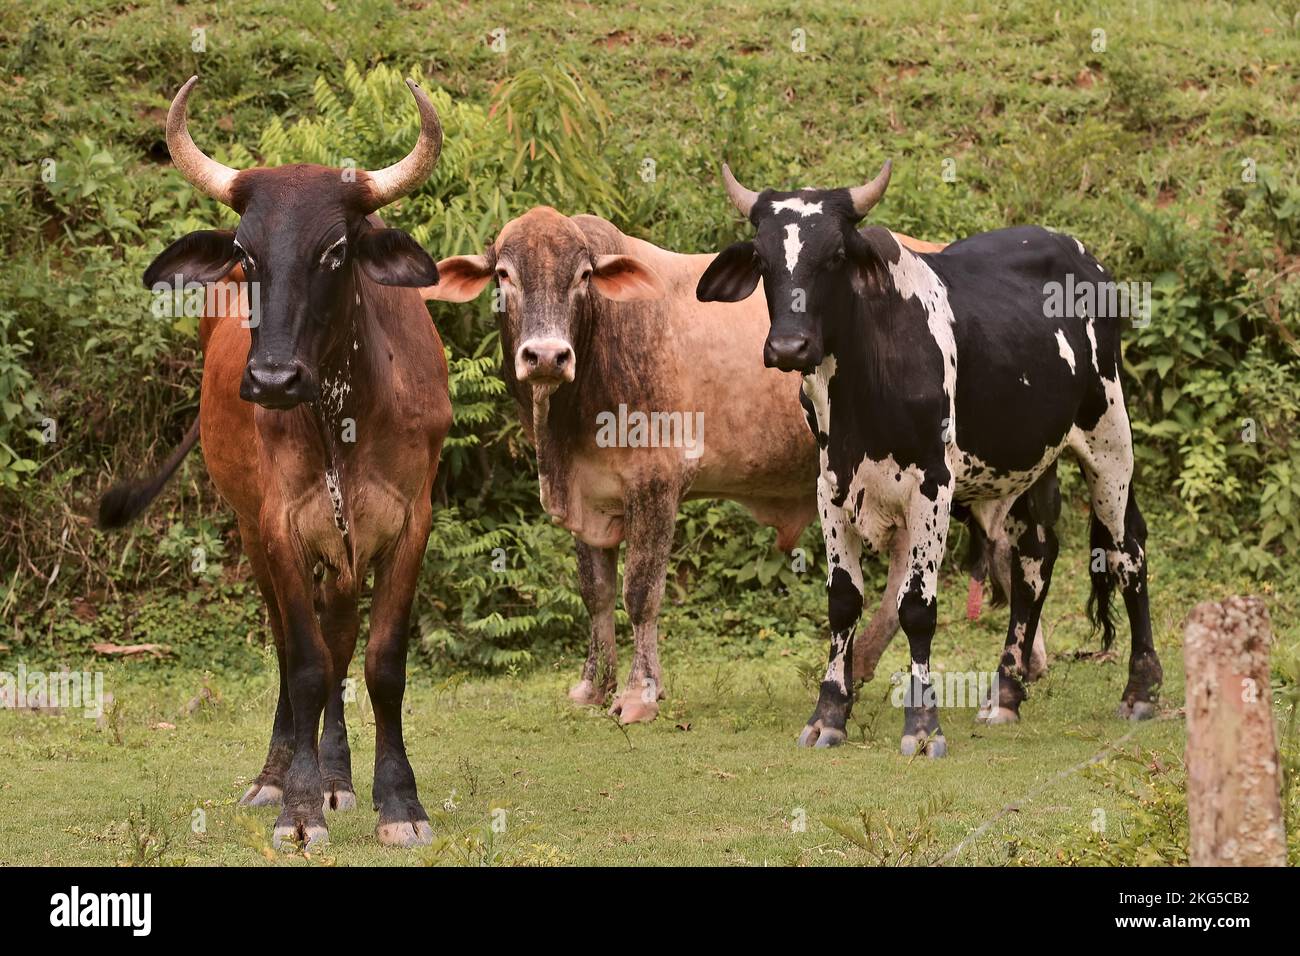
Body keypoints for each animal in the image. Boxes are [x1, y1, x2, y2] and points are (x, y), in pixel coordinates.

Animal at [98, 76, 451, 848]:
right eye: (246, 252)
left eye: (335, 250)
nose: (272, 380)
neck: (342, 414)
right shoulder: (281, 526)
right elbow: (306, 663)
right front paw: (297, 804)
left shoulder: (408, 522)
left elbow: (380, 662)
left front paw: (397, 802)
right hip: (252, 531)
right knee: (297, 650)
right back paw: (282, 775)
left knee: (340, 640)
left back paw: (339, 778)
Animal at [421, 207, 1016, 721]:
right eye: (504, 274)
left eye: (583, 276)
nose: (546, 356)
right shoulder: (590, 496)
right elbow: (596, 592)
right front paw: (594, 686)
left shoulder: (656, 484)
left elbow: (641, 592)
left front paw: (639, 694)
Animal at [696, 161, 1161, 756]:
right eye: (763, 257)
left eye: (836, 255)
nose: (788, 347)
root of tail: (1083, 257)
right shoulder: (831, 486)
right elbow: (843, 600)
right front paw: (828, 715)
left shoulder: (932, 486)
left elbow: (916, 606)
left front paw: (922, 725)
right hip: (1031, 460)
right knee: (1036, 559)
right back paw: (1004, 695)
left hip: (1109, 439)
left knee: (1128, 549)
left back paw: (1141, 689)